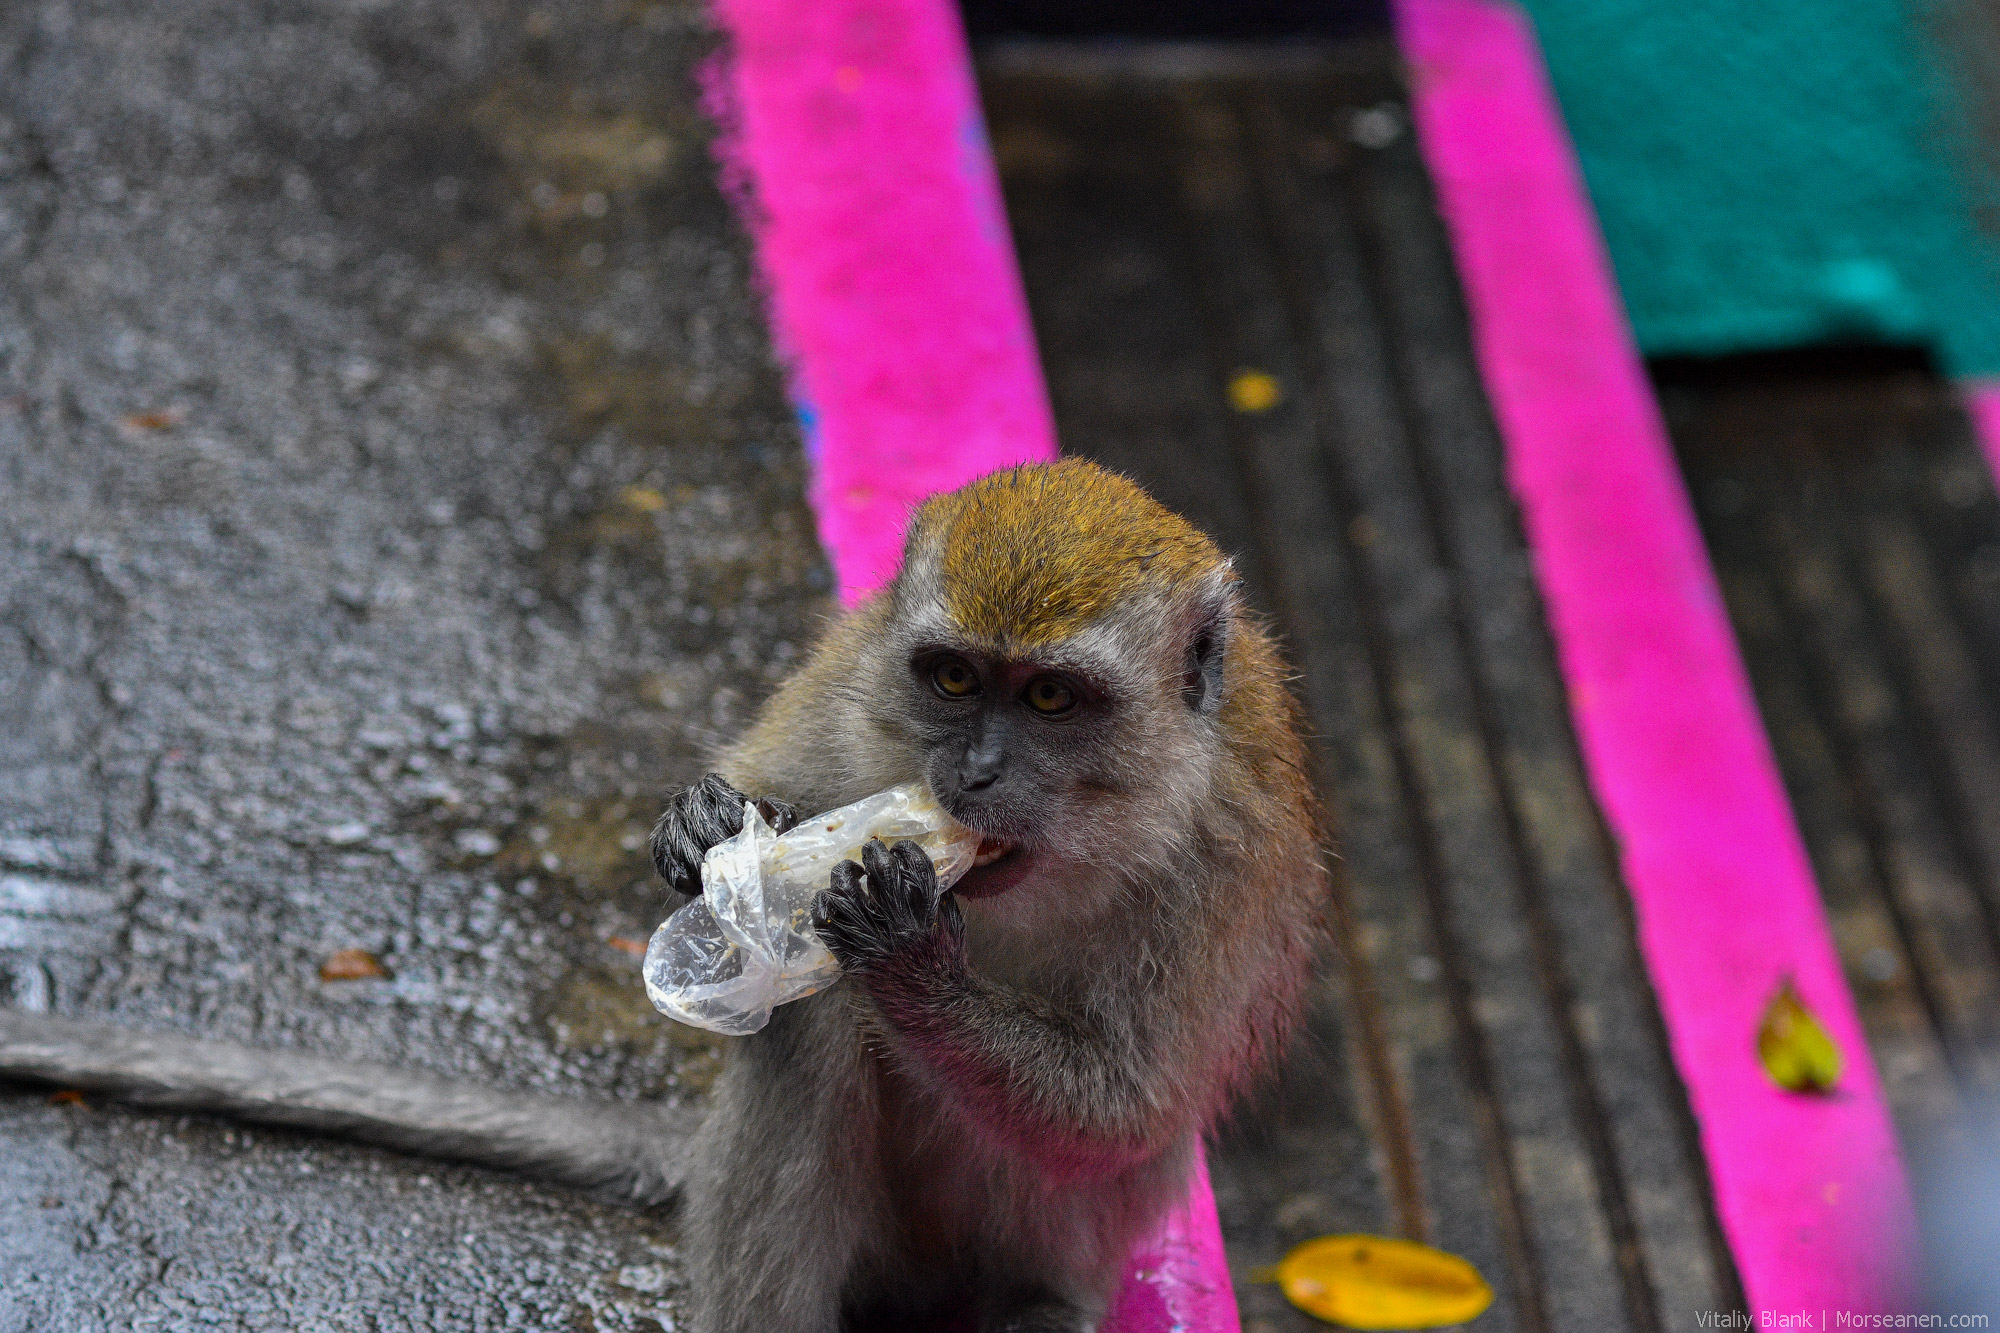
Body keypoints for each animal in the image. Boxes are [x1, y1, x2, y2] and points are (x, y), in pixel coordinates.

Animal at [3, 460, 1344, 1328]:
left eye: (1052, 698)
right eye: (955, 678)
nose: (967, 774)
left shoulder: (1223, 863)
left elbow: (1123, 1106)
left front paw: (911, 956)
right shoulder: (852, 678)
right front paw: (707, 828)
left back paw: (1021, 1301)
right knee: (807, 1037)